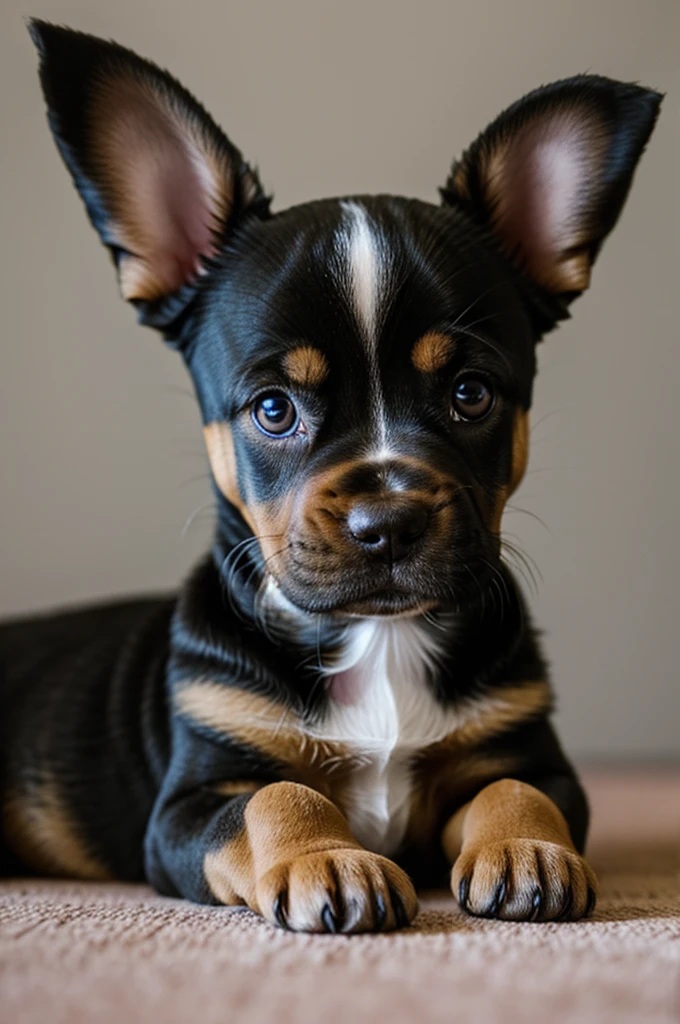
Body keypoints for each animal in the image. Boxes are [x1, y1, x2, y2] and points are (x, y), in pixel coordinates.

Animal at [0, 22, 659, 937]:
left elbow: (518, 789)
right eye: (273, 410)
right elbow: (278, 795)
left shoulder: (532, 753)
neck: (378, 640)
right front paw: (330, 861)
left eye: (471, 395)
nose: (388, 522)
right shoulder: (190, 804)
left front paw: (530, 851)